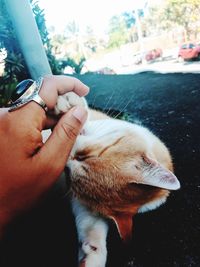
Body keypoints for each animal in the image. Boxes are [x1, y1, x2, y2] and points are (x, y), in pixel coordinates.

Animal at [49, 92, 180, 267]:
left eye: (70, 175)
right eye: (84, 155)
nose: (64, 165)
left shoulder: (83, 207)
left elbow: (90, 227)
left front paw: (91, 255)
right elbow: (83, 113)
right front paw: (69, 103)